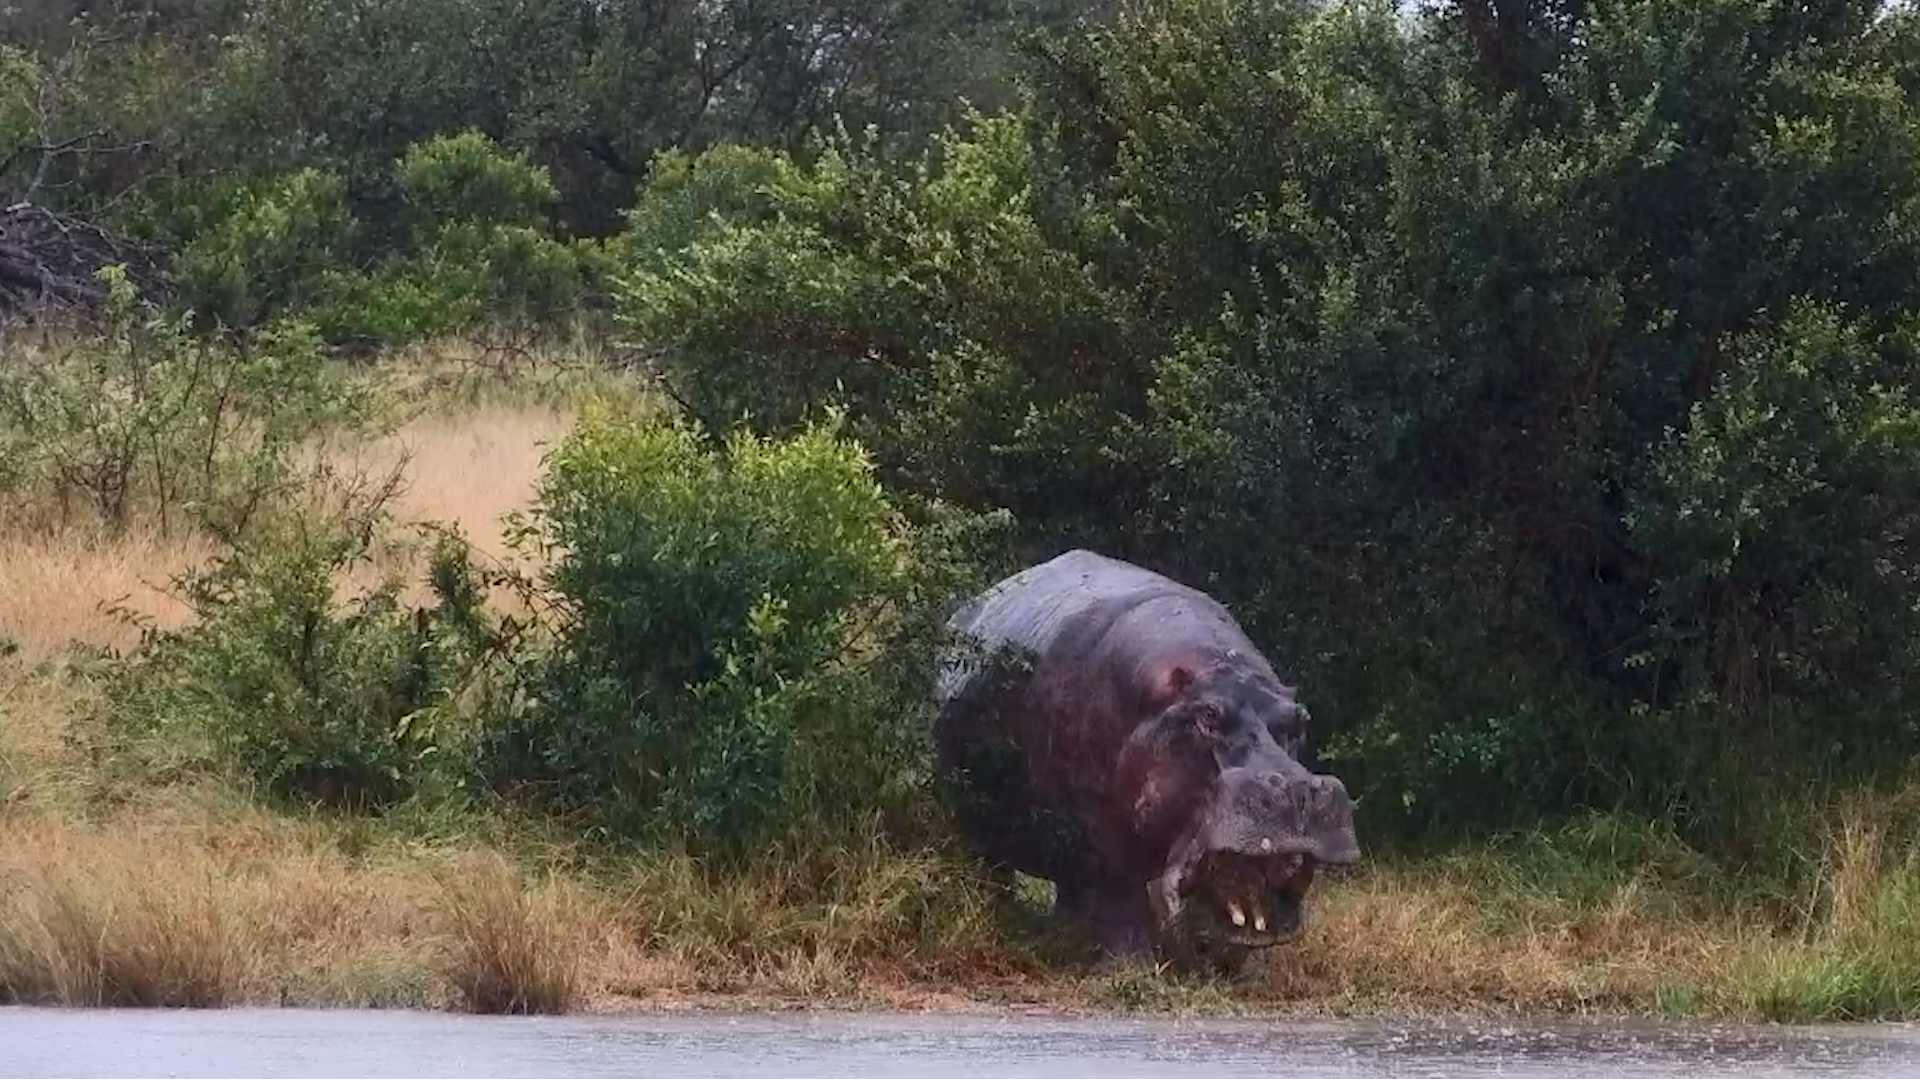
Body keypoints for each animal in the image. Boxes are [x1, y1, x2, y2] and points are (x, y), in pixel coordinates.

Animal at [932, 549, 1361, 974]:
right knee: (999, 871)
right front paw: (1130, 967)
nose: (1296, 790)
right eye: (1208, 715)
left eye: (1299, 719)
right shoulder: (1099, 829)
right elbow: (1119, 894)